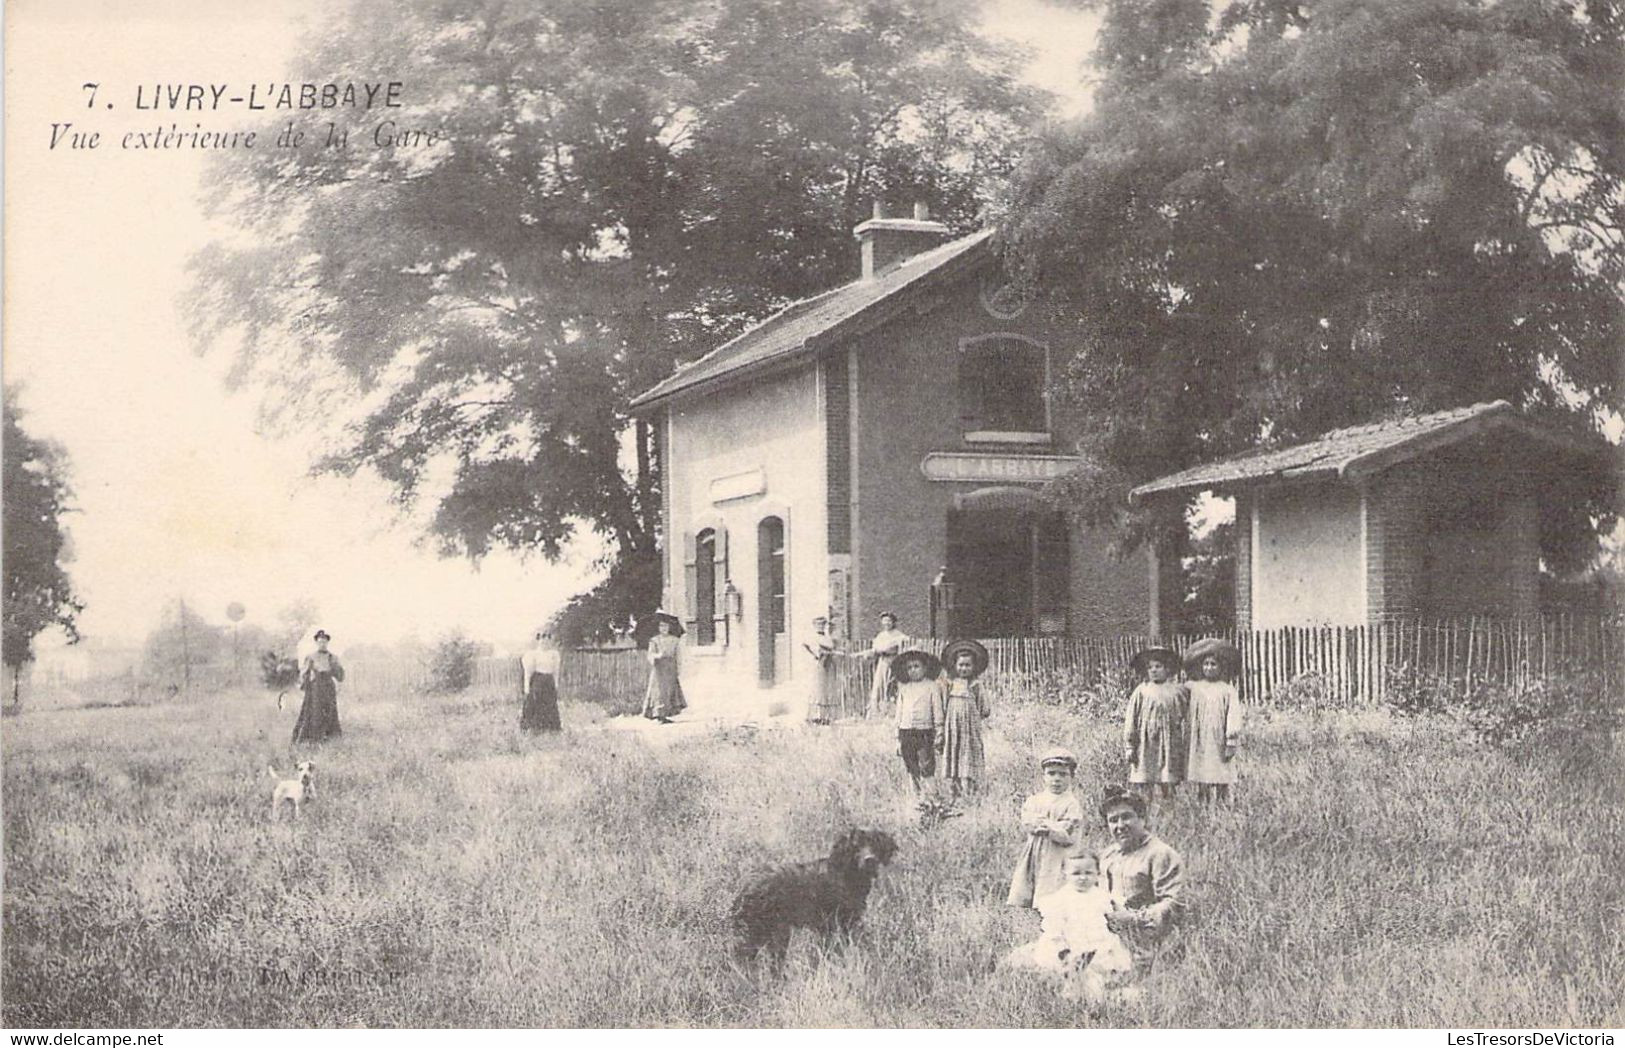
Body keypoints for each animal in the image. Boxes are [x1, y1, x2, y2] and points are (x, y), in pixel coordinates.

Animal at [728, 825, 897, 961]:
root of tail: (746, 885)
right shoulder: (832, 925)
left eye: (875, 844)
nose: (870, 860)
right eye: (856, 846)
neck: (846, 873)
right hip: (773, 931)